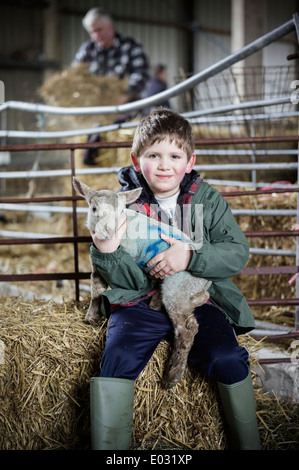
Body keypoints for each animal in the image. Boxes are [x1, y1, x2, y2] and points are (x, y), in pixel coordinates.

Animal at [73, 178, 212, 388]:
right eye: (94, 208)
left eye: (121, 210)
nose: (110, 231)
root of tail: (207, 280)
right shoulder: (96, 262)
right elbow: (96, 290)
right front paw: (91, 317)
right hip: (186, 289)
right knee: (199, 299)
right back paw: (156, 302)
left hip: (177, 287)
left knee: (187, 328)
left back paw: (172, 376)